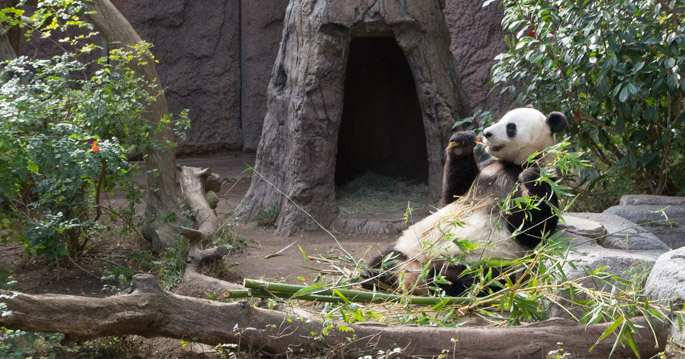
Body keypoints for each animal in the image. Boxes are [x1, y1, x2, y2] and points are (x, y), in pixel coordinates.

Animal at [364, 108, 568, 296]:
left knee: (477, 277)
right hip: (409, 244)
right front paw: (462, 142)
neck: (514, 164)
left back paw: (436, 279)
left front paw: (532, 177)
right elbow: (452, 196)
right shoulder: (485, 169)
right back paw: (374, 276)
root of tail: (413, 271)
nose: (486, 133)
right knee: (387, 256)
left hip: (483, 260)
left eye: (511, 127)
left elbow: (532, 229)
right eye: (500, 119)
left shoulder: (549, 179)